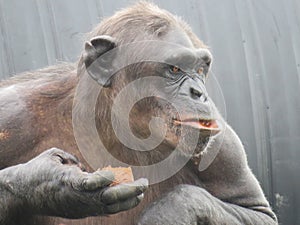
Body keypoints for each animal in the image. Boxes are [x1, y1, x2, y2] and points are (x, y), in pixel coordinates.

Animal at [0, 2, 276, 225]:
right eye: (174, 69)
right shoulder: (10, 115)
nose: (198, 92)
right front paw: (51, 181)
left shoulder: (224, 146)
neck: (114, 126)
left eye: (200, 68)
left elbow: (257, 211)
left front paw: (169, 212)